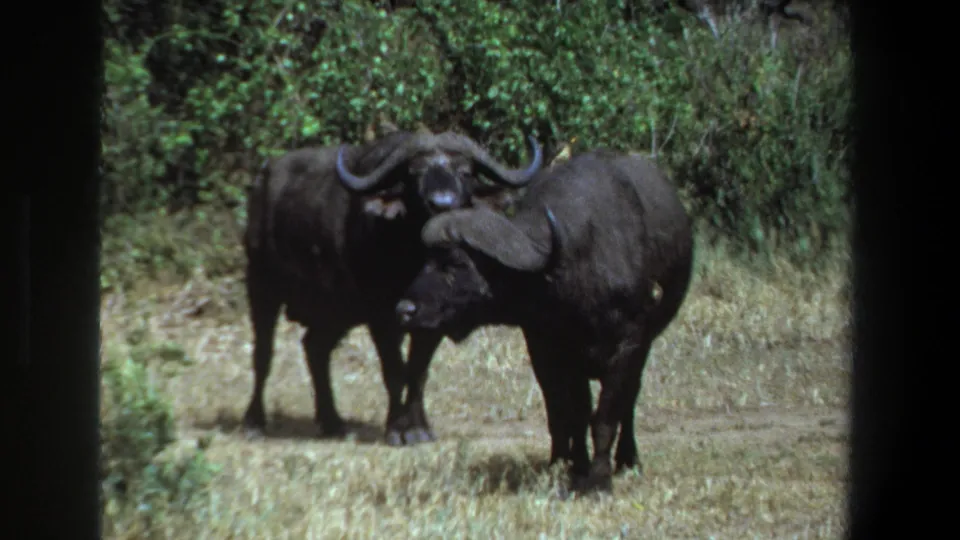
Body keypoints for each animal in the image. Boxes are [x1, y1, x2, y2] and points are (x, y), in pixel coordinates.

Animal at [243, 129, 543, 446]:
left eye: (464, 172)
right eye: (415, 173)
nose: (442, 203)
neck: (414, 258)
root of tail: (263, 179)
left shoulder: (431, 318)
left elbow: (418, 372)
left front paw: (419, 427)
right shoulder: (381, 316)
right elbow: (395, 371)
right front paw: (397, 429)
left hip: (336, 310)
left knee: (315, 348)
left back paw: (332, 421)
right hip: (261, 285)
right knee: (263, 353)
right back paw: (254, 421)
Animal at [394, 149, 695, 492]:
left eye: (456, 263)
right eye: (426, 260)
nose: (405, 309)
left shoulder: (629, 345)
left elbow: (606, 415)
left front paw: (599, 479)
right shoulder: (547, 349)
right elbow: (570, 413)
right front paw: (573, 468)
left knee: (629, 399)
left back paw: (628, 459)